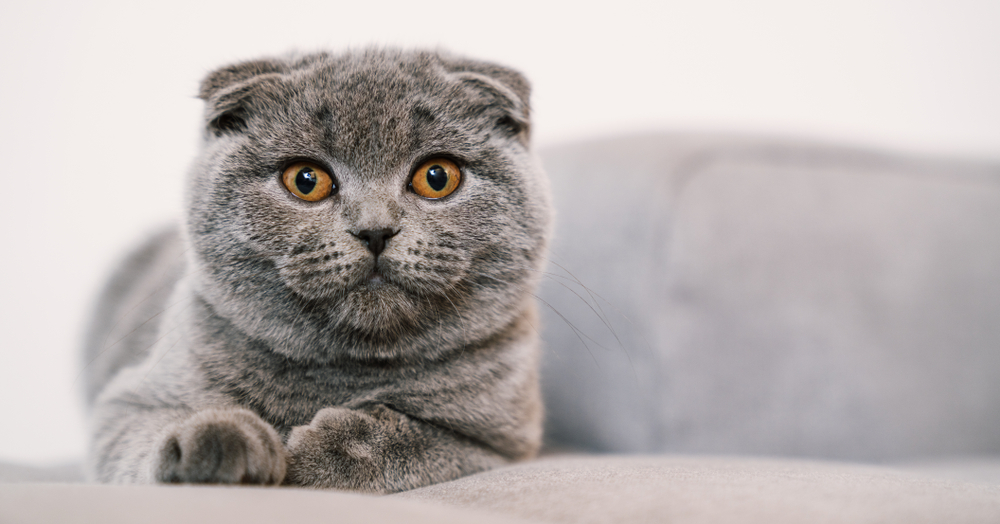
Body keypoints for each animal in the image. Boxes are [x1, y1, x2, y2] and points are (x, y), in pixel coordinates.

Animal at [84, 48, 556, 492]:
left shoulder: (501, 444)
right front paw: (220, 437)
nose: (375, 230)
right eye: (306, 180)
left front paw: (326, 450)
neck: (348, 369)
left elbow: (421, 438)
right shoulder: (125, 402)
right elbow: (145, 432)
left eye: (437, 177)